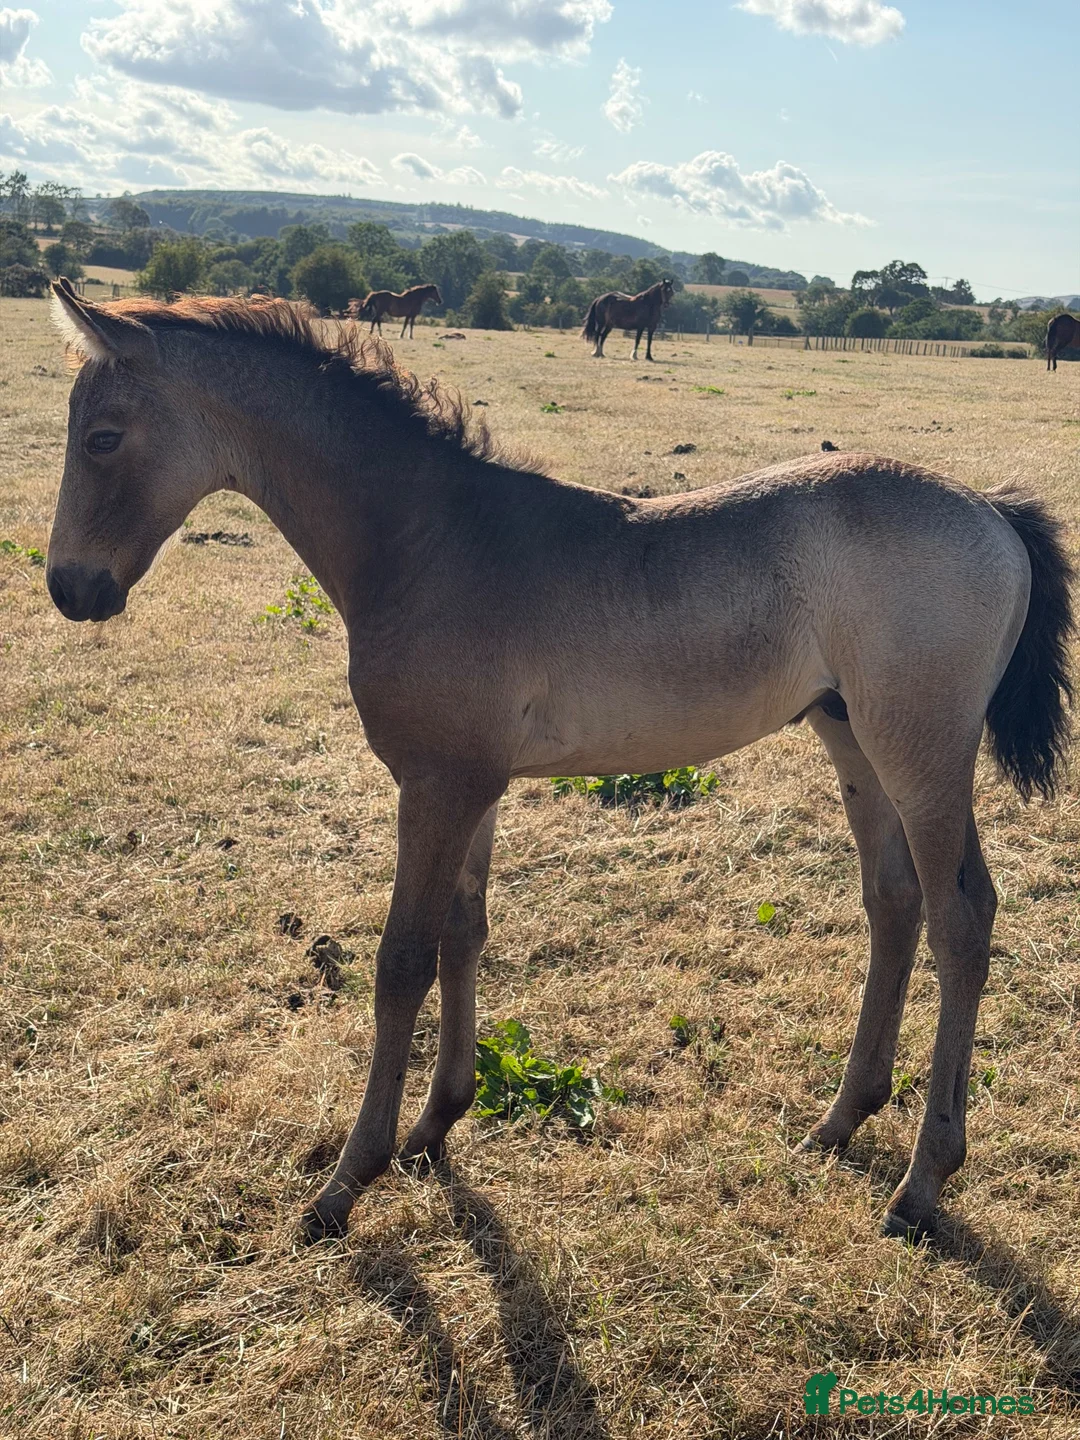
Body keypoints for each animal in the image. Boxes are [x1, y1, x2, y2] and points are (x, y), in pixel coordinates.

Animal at [47, 281, 1073, 1246]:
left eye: (102, 437)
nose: (69, 589)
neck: (428, 542)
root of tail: (992, 509)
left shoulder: (436, 784)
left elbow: (401, 960)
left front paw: (346, 1182)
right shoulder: (473, 784)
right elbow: (464, 933)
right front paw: (433, 1131)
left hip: (922, 753)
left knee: (962, 920)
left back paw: (922, 1183)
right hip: (851, 738)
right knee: (894, 905)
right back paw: (838, 1123)